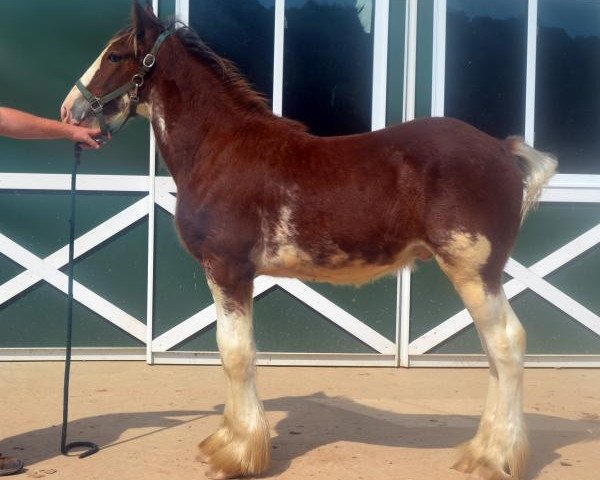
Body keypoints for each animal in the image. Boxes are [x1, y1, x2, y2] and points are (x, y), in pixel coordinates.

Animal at [61, 1, 556, 478]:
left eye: (115, 56)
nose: (70, 111)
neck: (219, 149)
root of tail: (502, 150)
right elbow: (230, 352)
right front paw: (225, 442)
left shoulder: (228, 269)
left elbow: (235, 353)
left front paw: (238, 456)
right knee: (493, 353)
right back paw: (479, 451)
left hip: (474, 272)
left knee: (507, 345)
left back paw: (495, 458)